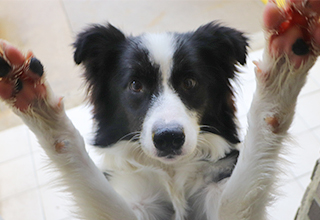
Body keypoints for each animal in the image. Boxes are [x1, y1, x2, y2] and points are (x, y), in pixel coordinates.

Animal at [0, 0, 320, 219]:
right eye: (135, 85)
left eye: (190, 82)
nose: (168, 139)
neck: (171, 173)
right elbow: (79, 164)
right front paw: (32, 96)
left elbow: (260, 135)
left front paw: (285, 62)